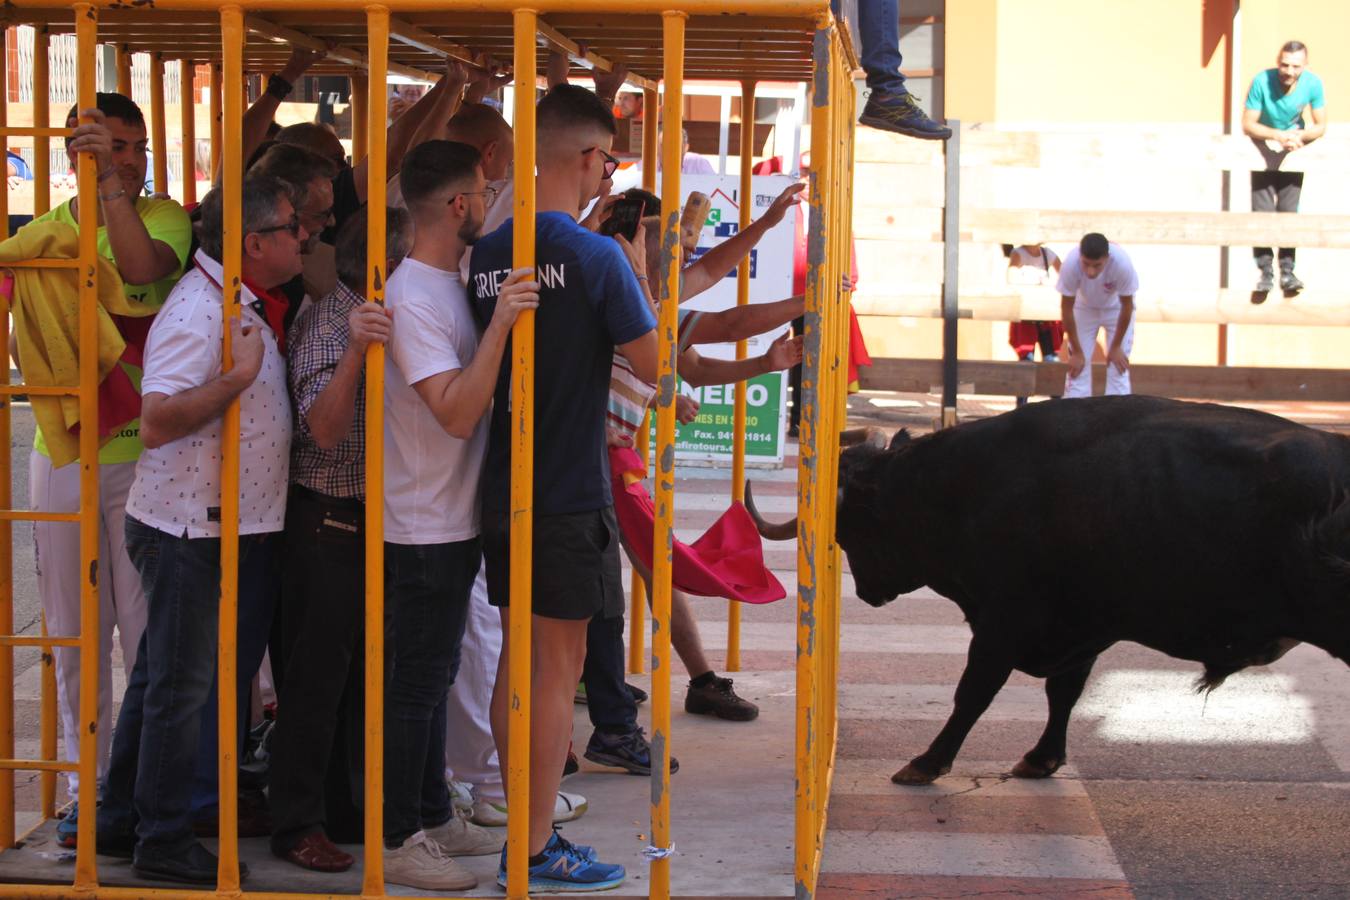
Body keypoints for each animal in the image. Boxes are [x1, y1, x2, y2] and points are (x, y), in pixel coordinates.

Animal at [750, 396, 1350, 782]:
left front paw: (926, 762)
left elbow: (974, 693)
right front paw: (1042, 758)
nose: (870, 593)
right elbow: (1064, 693)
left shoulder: (1004, 621)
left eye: (850, 529)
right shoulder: (1082, 625)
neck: (965, 486)